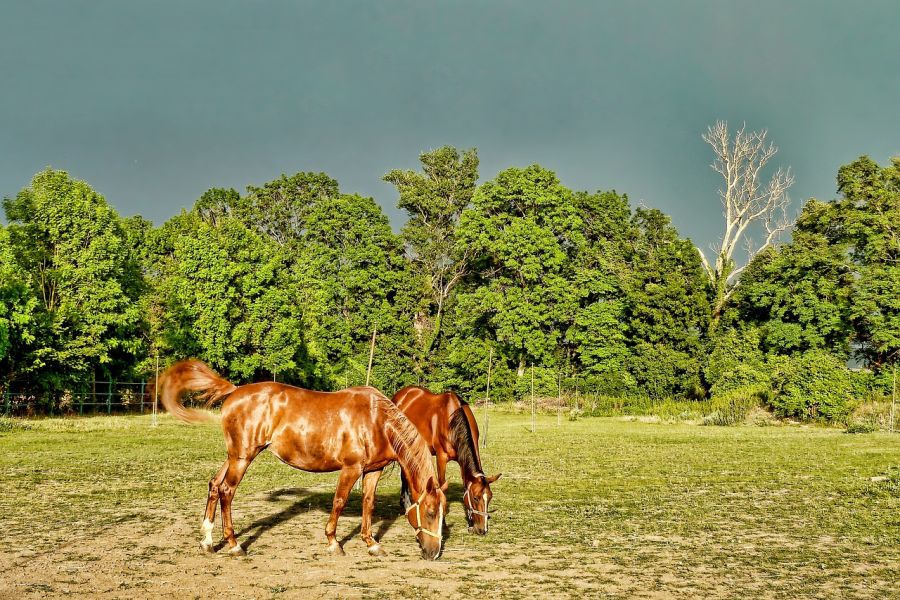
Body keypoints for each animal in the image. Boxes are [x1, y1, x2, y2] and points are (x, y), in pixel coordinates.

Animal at [390, 386, 500, 536]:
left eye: (489, 497)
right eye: (476, 498)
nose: (482, 530)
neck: (452, 420)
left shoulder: (462, 460)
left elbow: (465, 486)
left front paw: (470, 523)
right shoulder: (441, 457)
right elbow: (442, 486)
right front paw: (443, 524)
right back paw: (406, 505)